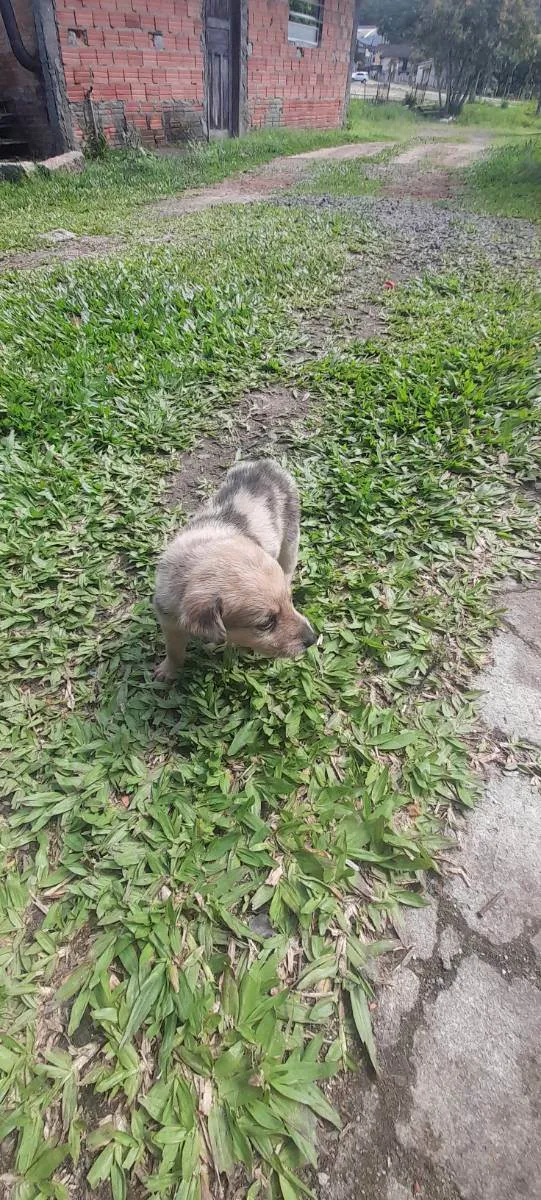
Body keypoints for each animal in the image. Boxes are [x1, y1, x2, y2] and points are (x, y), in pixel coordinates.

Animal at [154, 458, 316, 681]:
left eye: (290, 602)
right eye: (265, 624)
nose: (313, 638)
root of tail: (266, 464)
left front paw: (214, 646)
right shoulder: (168, 619)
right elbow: (174, 651)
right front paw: (167, 671)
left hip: (290, 542)